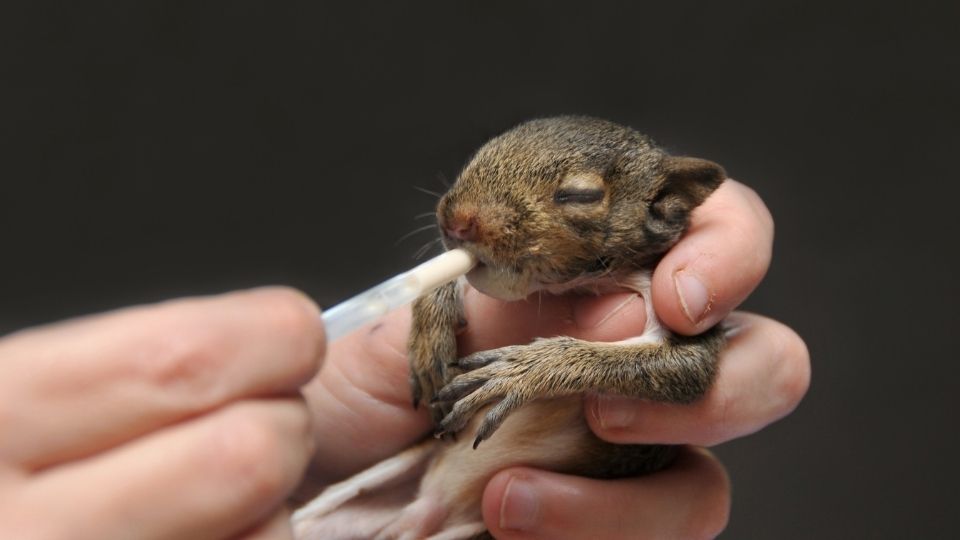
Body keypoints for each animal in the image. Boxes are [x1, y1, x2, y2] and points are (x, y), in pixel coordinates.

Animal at [294, 117, 728, 540]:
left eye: (581, 196)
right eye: (479, 154)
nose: (455, 222)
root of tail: (425, 510)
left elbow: (682, 368)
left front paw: (519, 371)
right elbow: (447, 272)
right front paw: (430, 331)